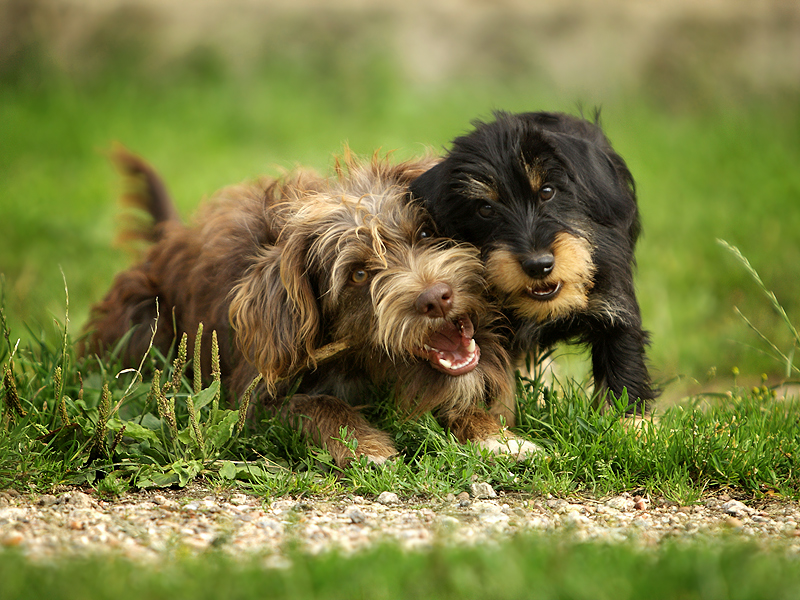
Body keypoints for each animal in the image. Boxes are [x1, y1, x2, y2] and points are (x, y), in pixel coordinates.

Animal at [84, 149, 540, 464]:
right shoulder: (257, 401)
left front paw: (496, 437)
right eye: (359, 274)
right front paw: (365, 446)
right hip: (141, 316)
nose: (437, 297)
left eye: (426, 232)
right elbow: (316, 403)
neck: (363, 364)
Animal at [412, 111, 656, 412]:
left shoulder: (616, 307)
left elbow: (623, 374)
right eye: (485, 209)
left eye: (547, 191)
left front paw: (630, 421)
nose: (539, 265)